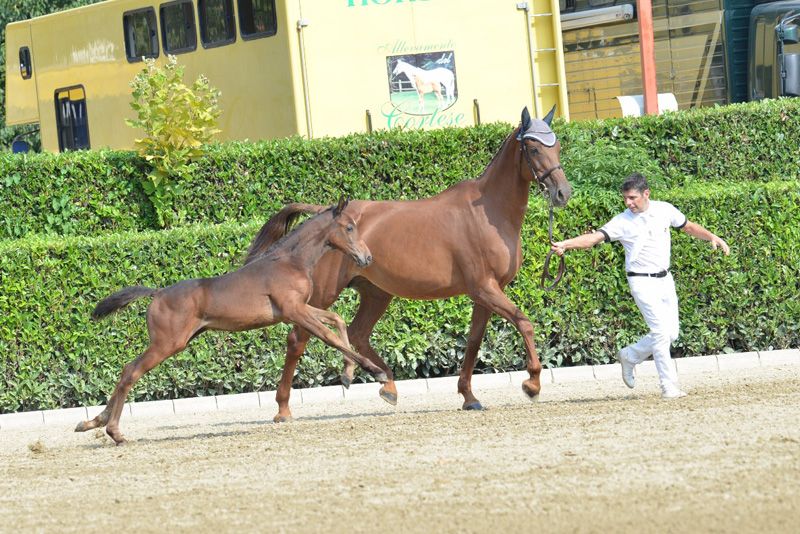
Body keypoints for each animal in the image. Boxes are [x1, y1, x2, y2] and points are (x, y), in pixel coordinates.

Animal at [76, 198, 387, 444]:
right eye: (349, 227)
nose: (367, 257)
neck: (290, 262)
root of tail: (158, 293)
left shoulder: (300, 308)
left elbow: (338, 320)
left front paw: (348, 375)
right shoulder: (294, 310)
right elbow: (329, 335)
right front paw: (376, 372)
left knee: (126, 370)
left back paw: (91, 422)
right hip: (168, 343)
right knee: (131, 371)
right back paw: (114, 432)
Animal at [245, 106, 572, 423]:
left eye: (556, 146)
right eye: (533, 149)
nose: (562, 193)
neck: (489, 213)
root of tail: (327, 214)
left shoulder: (486, 293)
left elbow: (473, 341)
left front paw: (469, 397)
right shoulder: (484, 288)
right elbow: (523, 322)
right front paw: (532, 384)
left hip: (376, 293)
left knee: (358, 333)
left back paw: (387, 385)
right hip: (324, 294)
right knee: (297, 339)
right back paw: (283, 409)